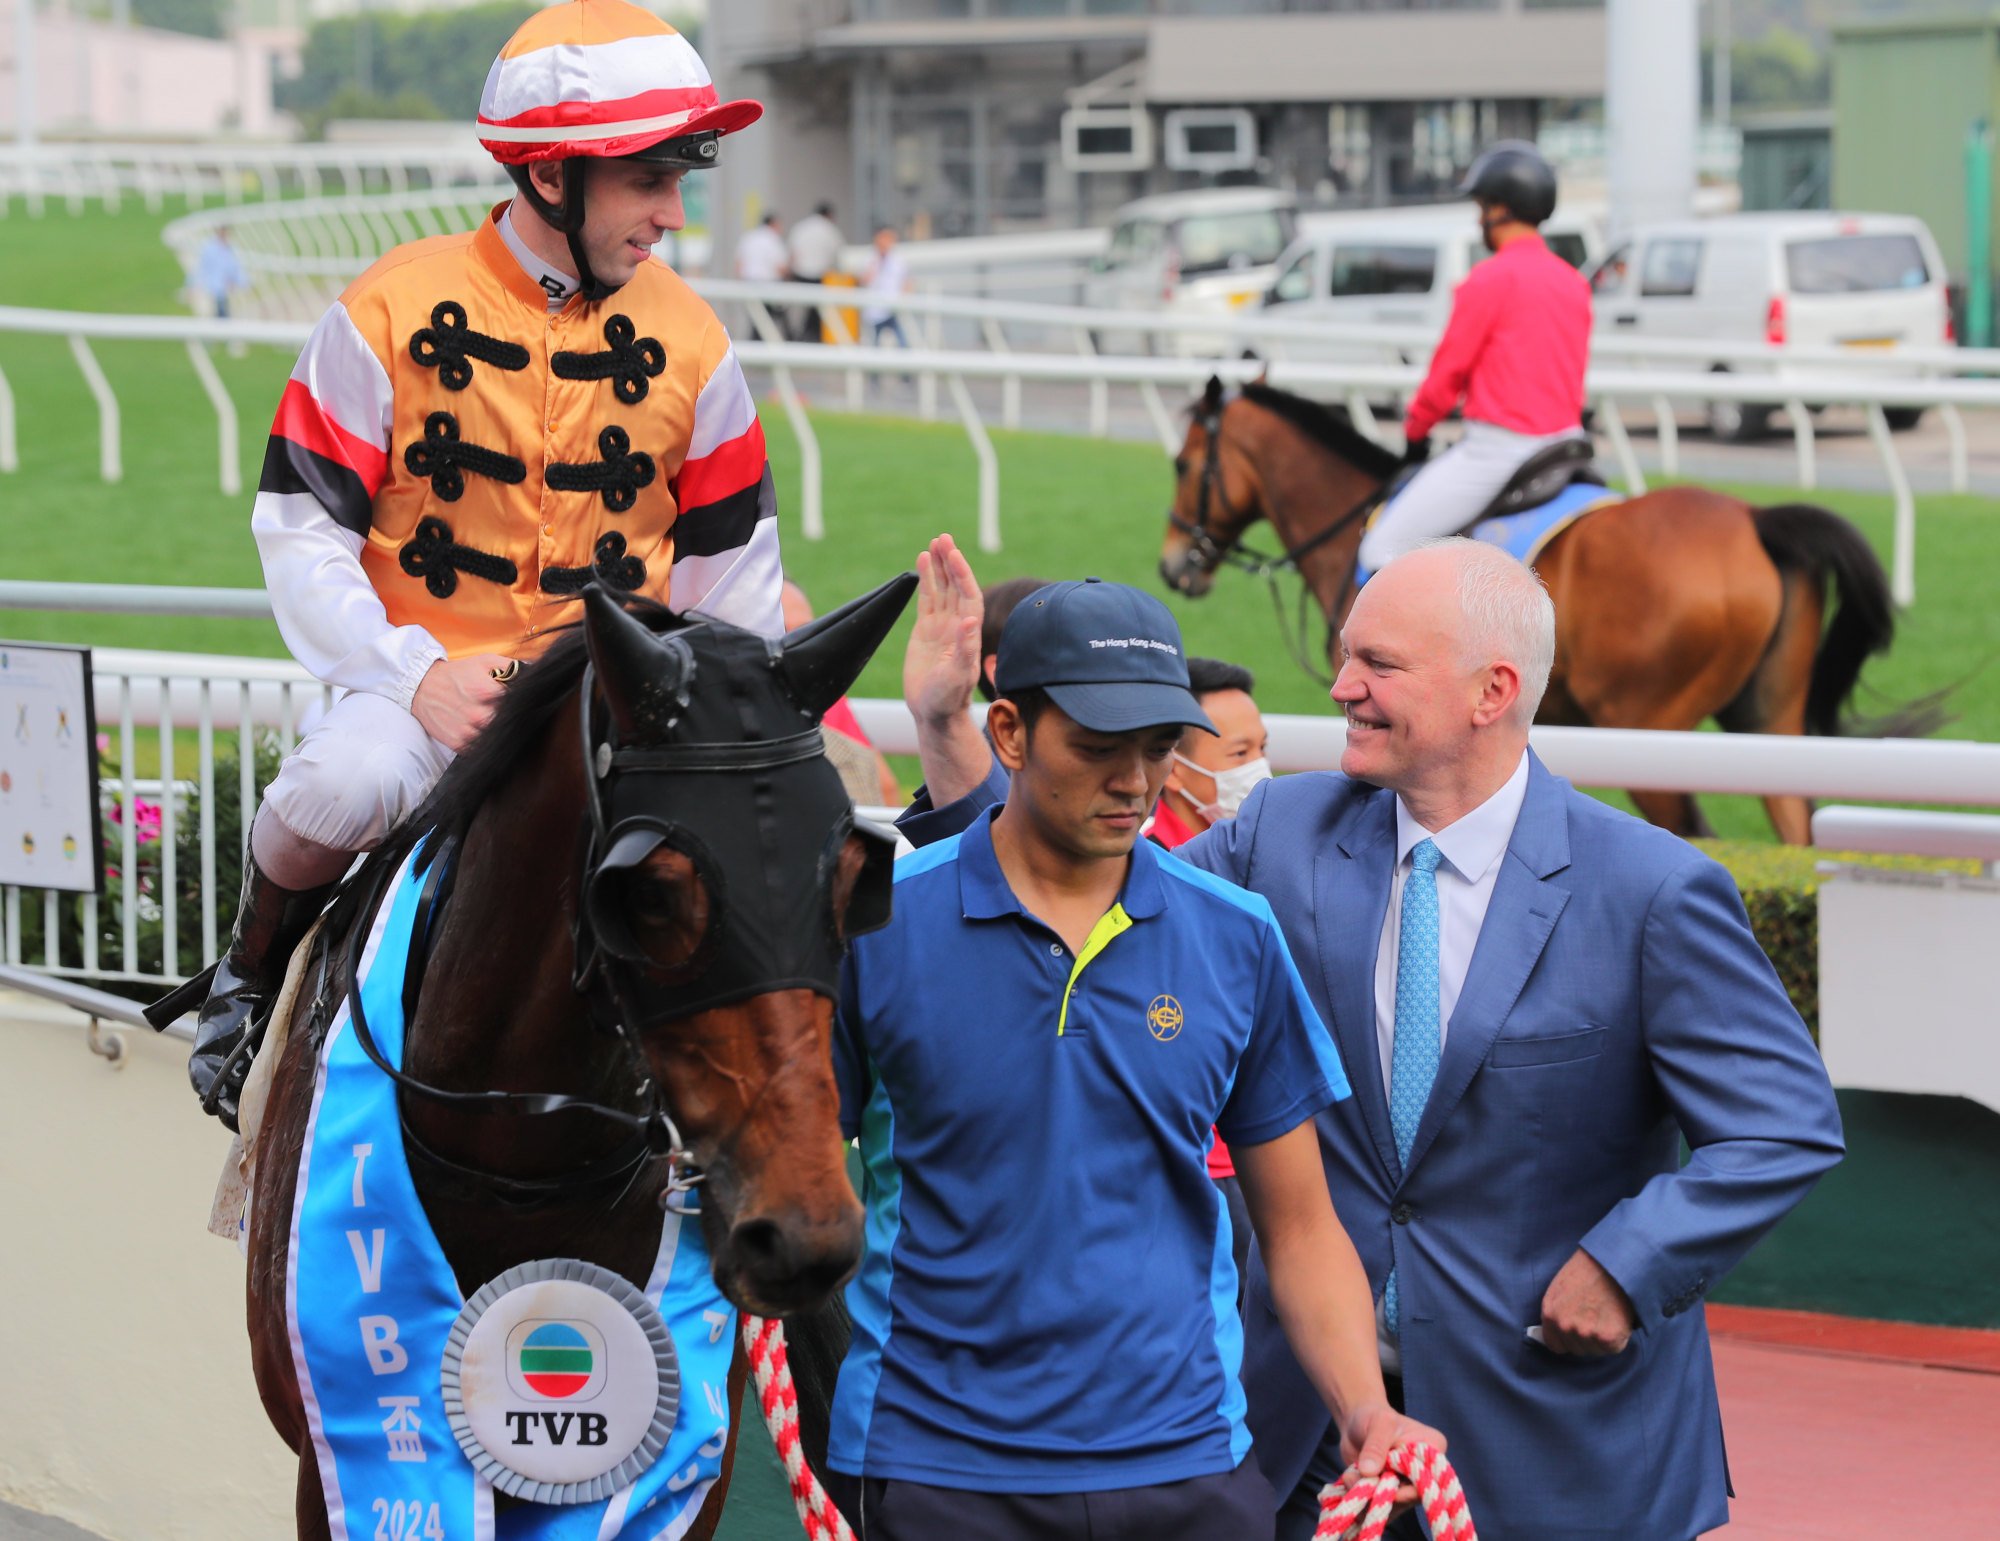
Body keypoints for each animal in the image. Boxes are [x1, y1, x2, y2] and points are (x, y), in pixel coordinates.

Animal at [240, 580, 916, 1536]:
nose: (804, 1230)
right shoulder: (340, 1451)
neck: (512, 1167)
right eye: (653, 891)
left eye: (854, 872)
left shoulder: (670, 1472)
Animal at [1168, 380, 1912, 840]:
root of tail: (1755, 520)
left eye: (1181, 463)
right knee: (1793, 818)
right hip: (1767, 717)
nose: (1176, 564)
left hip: (1646, 725)